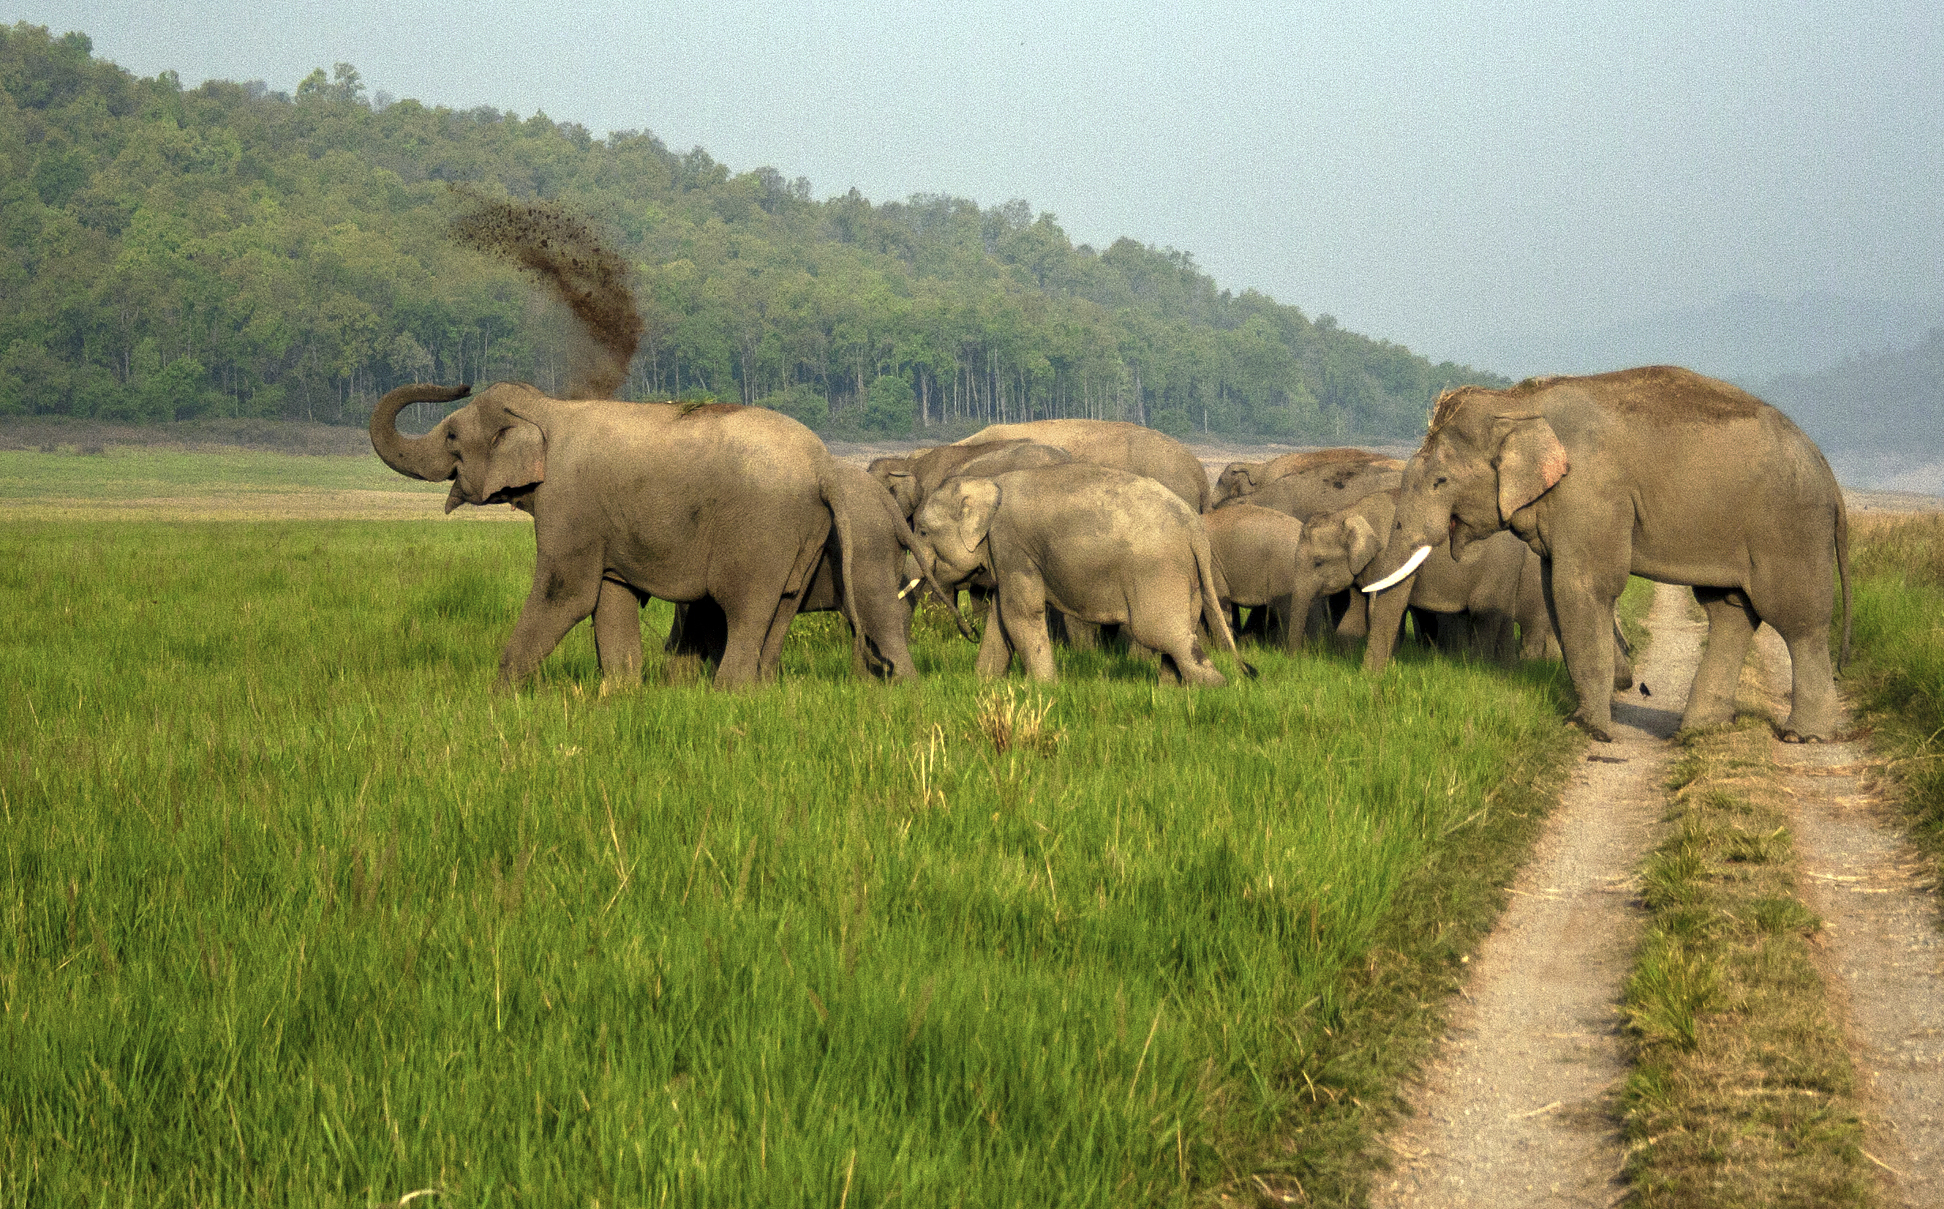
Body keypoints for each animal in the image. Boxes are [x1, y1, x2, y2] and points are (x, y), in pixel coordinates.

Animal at [370, 381, 953, 691]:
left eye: (451, 435)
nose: (460, 382)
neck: (549, 407)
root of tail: (824, 465)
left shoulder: (569, 503)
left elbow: (567, 594)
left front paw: (499, 695)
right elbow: (611, 596)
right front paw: (621, 690)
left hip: (766, 531)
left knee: (750, 605)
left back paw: (731, 692)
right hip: (803, 536)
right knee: (782, 608)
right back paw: (764, 688)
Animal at [909, 463, 1244, 685]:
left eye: (923, 531)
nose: (969, 633)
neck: (990, 482)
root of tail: (1195, 528)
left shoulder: (1012, 544)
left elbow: (1020, 614)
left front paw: (1044, 688)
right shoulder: (1006, 554)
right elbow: (1001, 617)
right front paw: (982, 684)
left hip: (1157, 570)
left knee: (1162, 632)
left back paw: (1215, 688)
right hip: (1187, 575)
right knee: (1179, 627)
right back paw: (1170, 691)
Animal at [1359, 366, 1848, 742]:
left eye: (1440, 482)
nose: (1373, 686)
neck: (1519, 402)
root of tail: (1828, 470)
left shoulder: (1589, 493)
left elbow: (1582, 587)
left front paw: (1590, 729)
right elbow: (1555, 589)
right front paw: (1596, 705)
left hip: (1789, 529)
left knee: (1796, 619)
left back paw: (1804, 735)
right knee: (1729, 610)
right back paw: (1696, 731)